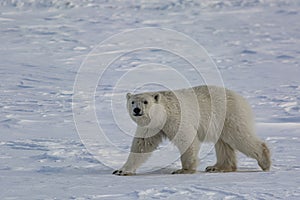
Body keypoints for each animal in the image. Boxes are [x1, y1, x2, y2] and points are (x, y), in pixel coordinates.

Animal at [113, 85, 272, 175]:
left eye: (145, 102)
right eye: (132, 101)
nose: (137, 110)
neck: (162, 115)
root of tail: (241, 98)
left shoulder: (175, 118)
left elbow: (186, 138)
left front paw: (183, 170)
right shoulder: (151, 127)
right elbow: (141, 146)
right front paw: (121, 170)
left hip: (229, 115)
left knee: (239, 136)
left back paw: (265, 162)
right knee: (223, 144)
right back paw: (217, 167)